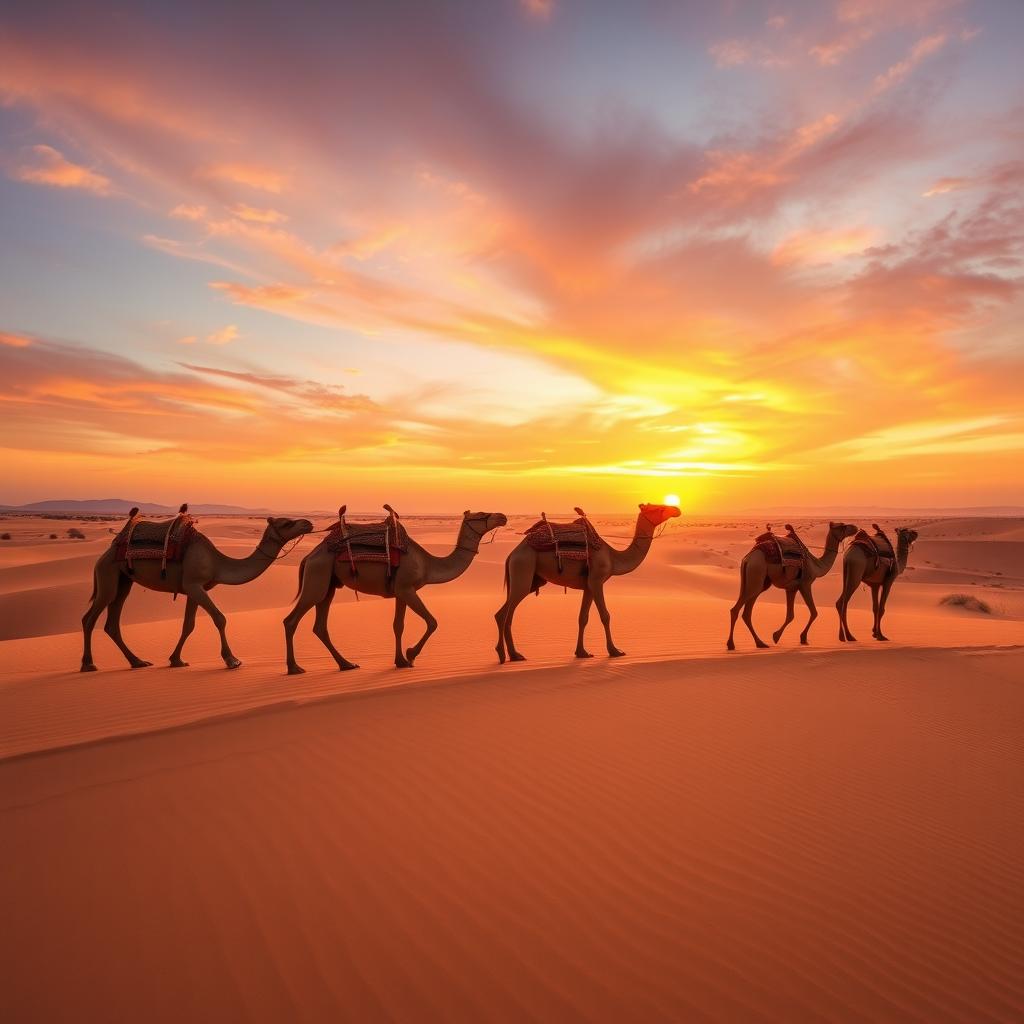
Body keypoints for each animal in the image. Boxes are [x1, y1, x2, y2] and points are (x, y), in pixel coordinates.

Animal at [82, 512, 311, 671]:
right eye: (287, 523)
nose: (308, 523)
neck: (217, 563)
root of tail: (104, 554)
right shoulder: (194, 585)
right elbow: (219, 618)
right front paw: (232, 660)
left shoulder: (192, 589)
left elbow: (188, 625)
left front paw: (176, 660)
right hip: (108, 574)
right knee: (89, 618)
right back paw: (88, 664)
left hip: (124, 581)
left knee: (112, 623)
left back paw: (138, 661)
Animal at [282, 505, 505, 671]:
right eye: (482, 514)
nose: (502, 516)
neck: (427, 564)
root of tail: (309, 556)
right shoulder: (407, 588)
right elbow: (432, 622)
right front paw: (411, 654)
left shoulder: (400, 591)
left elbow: (398, 625)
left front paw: (401, 661)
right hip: (317, 577)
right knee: (291, 620)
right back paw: (294, 667)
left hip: (328, 584)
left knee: (320, 625)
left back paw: (346, 664)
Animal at [493, 503, 679, 663]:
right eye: (657, 508)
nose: (677, 509)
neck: (613, 557)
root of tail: (512, 554)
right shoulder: (597, 581)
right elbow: (605, 615)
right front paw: (615, 651)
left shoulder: (588, 587)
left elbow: (583, 617)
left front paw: (582, 652)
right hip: (523, 569)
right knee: (504, 613)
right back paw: (504, 654)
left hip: (529, 578)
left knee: (506, 613)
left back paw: (514, 655)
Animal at [724, 524, 860, 651]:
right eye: (842, 526)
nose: (855, 527)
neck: (816, 565)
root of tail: (747, 559)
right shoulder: (805, 584)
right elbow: (814, 612)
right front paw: (801, 637)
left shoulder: (791, 588)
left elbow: (790, 615)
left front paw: (776, 636)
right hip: (756, 575)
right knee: (736, 609)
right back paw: (731, 644)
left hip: (755, 582)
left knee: (746, 613)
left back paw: (760, 643)